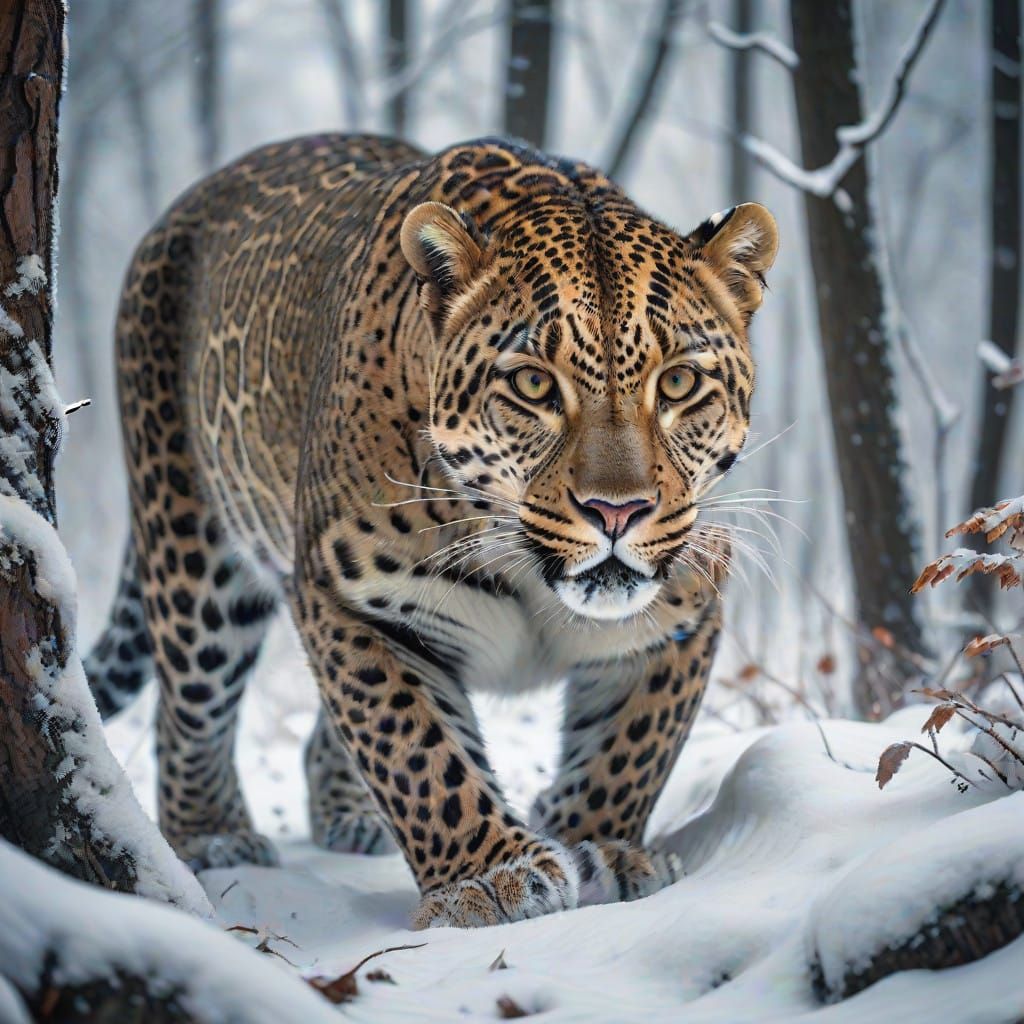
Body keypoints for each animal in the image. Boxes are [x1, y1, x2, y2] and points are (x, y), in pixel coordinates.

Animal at [84, 133, 778, 929]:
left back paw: (349, 819)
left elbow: (633, 743)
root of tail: (185, 204)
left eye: (679, 383)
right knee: (189, 706)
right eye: (534, 384)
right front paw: (490, 878)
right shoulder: (347, 596)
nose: (617, 511)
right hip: (191, 551)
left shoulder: (687, 598)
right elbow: (411, 745)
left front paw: (601, 848)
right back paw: (213, 837)